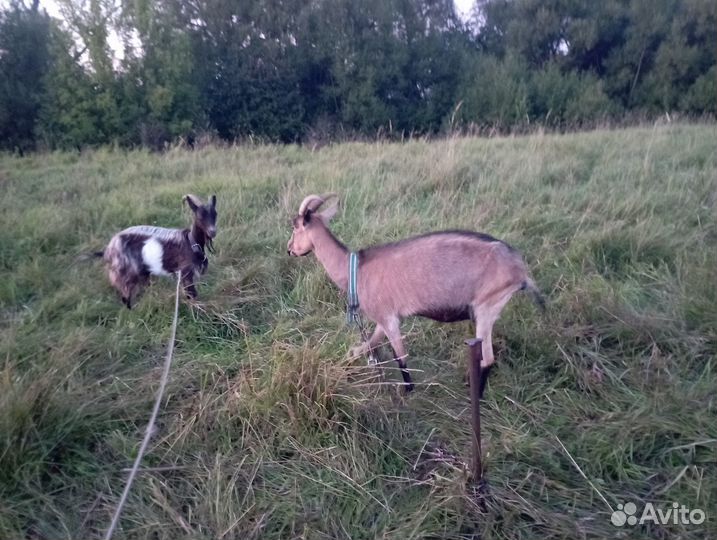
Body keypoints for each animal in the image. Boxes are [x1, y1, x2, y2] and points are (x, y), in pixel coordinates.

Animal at [287, 193, 544, 394]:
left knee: (487, 359)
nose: (290, 250)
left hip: (486, 308)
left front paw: (408, 390)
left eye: (296, 226)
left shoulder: (388, 318)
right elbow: (369, 344)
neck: (355, 269)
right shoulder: (384, 320)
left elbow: (400, 356)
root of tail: (519, 268)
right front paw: (352, 356)